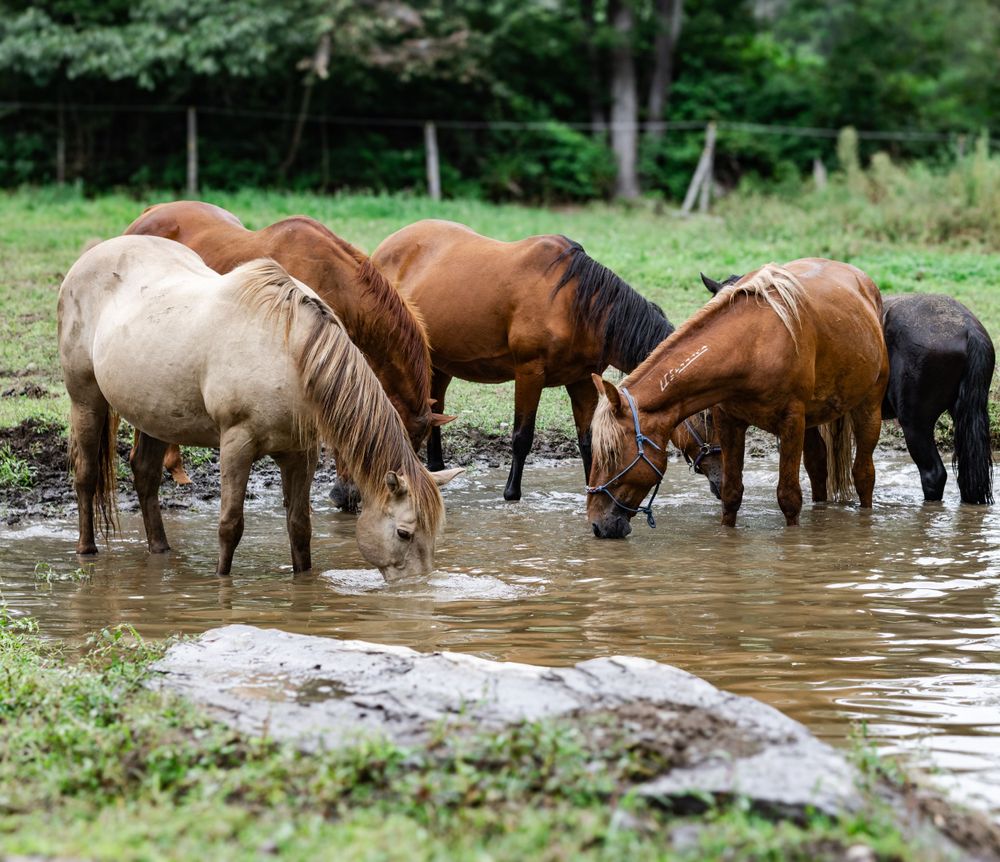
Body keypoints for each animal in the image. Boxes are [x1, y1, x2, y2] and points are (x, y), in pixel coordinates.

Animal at [58, 235, 461, 577]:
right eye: (404, 533)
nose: (417, 586)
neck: (292, 353)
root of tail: (92, 255)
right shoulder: (237, 444)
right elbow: (230, 525)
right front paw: (223, 583)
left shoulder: (301, 453)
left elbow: (300, 526)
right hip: (86, 399)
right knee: (86, 475)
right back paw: (86, 549)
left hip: (154, 412)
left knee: (145, 475)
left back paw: (160, 550)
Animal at [372, 219, 676, 501]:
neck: (574, 305)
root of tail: (385, 247)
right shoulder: (530, 372)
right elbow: (522, 436)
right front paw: (511, 493)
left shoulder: (582, 380)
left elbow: (588, 439)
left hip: (440, 362)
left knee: (436, 407)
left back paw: (436, 468)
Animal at [588, 259, 889, 537]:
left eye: (612, 454)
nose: (597, 525)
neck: (752, 346)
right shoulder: (730, 422)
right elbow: (732, 493)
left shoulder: (791, 423)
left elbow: (789, 498)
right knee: (818, 468)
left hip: (868, 408)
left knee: (864, 475)